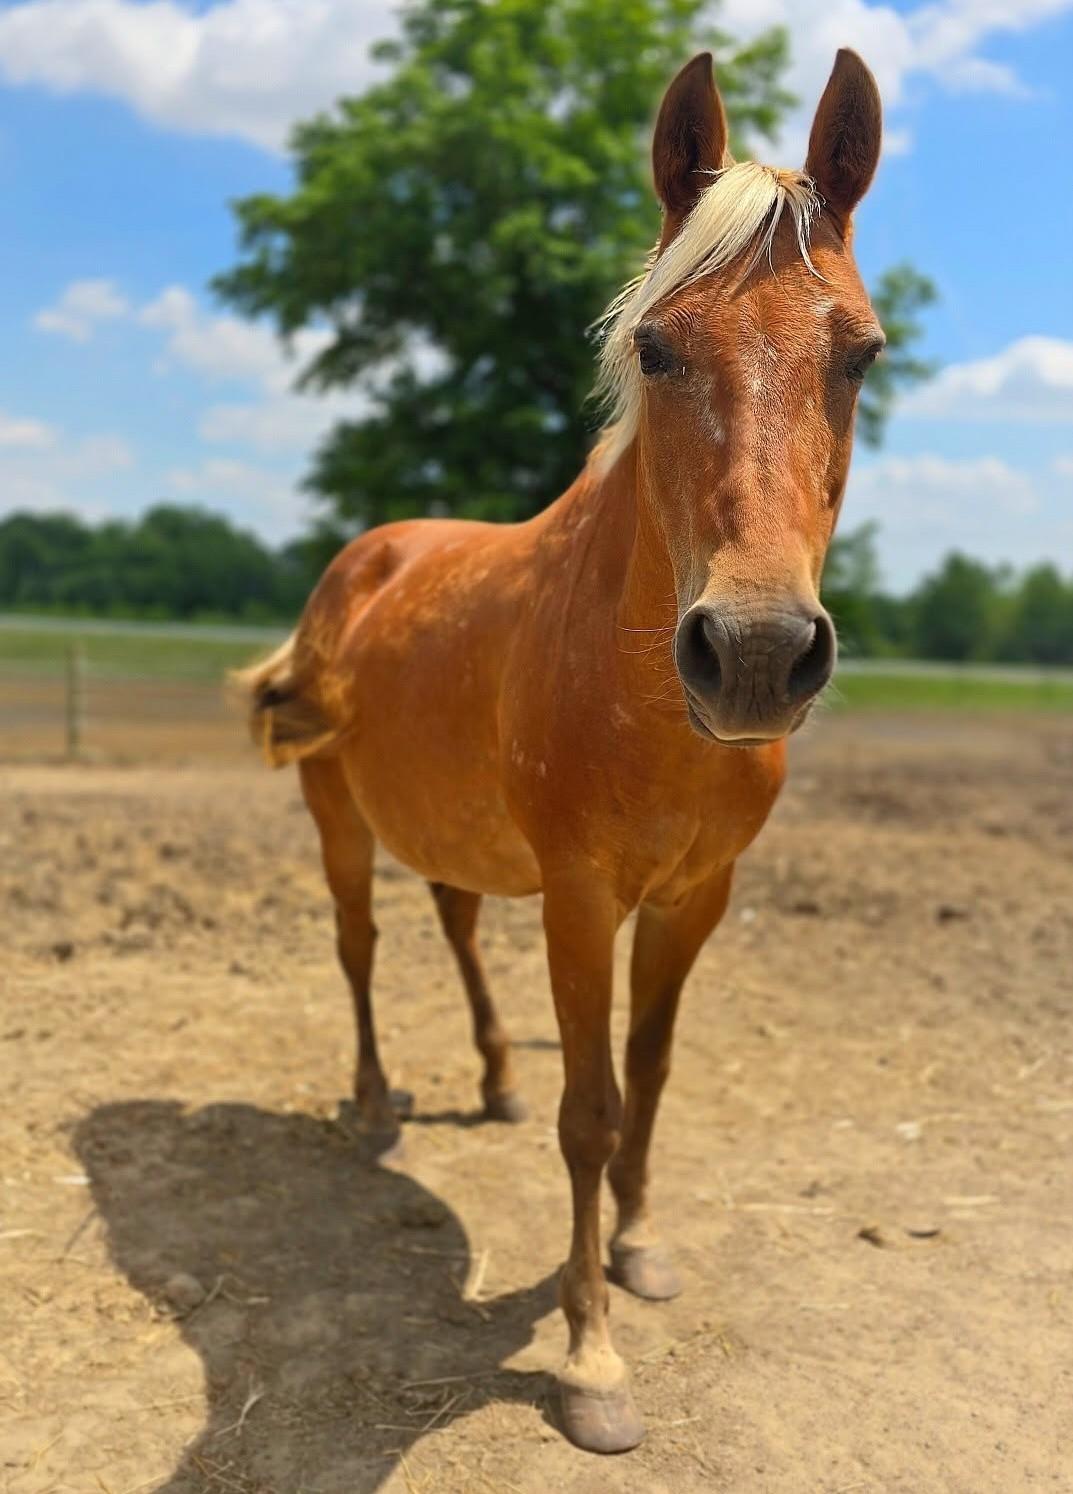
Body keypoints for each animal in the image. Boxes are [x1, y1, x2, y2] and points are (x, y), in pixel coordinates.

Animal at [237, 48, 885, 1454]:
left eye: (861, 356)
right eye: (654, 345)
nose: (755, 652)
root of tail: (364, 560)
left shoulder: (695, 898)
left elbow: (650, 1072)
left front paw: (638, 1250)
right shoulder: (583, 898)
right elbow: (586, 1112)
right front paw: (589, 1359)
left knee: (452, 923)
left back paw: (485, 1079)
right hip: (335, 818)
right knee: (360, 946)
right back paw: (376, 1105)